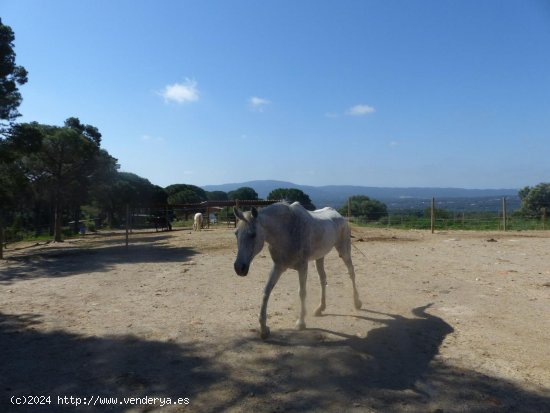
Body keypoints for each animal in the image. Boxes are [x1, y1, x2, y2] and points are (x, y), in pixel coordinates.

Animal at [235, 200, 364, 338]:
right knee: (323, 279)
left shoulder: (302, 267)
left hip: (344, 251)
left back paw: (357, 302)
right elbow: (266, 292)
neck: (287, 231)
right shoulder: (278, 267)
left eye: (253, 235)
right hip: (320, 257)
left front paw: (300, 323)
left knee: (351, 273)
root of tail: (339, 216)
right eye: (236, 233)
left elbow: (302, 292)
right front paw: (264, 329)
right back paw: (320, 308)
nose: (239, 268)